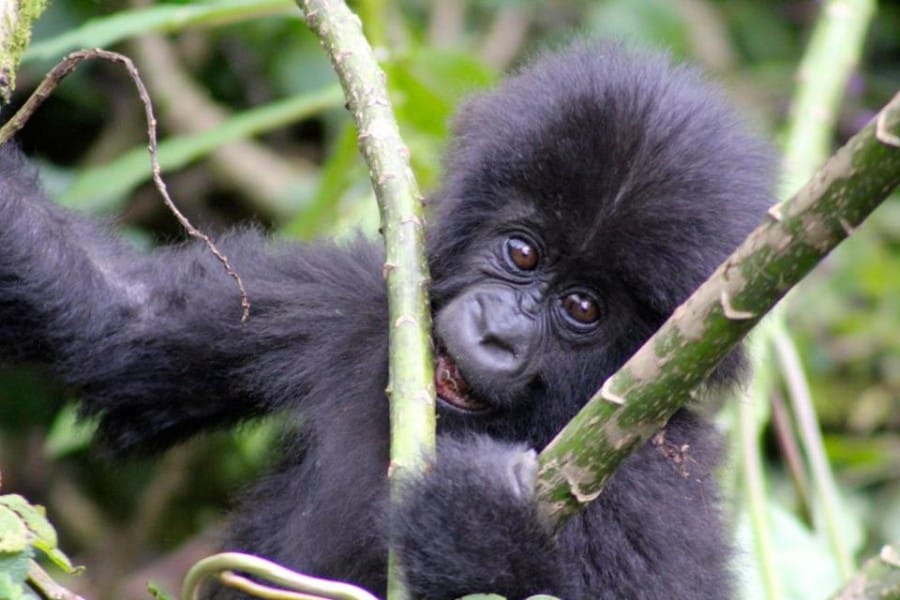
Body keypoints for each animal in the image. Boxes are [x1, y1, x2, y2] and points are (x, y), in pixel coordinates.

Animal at [0, 39, 772, 596]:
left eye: (583, 308)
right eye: (523, 252)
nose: (500, 334)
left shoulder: (657, 476)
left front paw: (475, 532)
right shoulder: (346, 302)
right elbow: (124, 321)